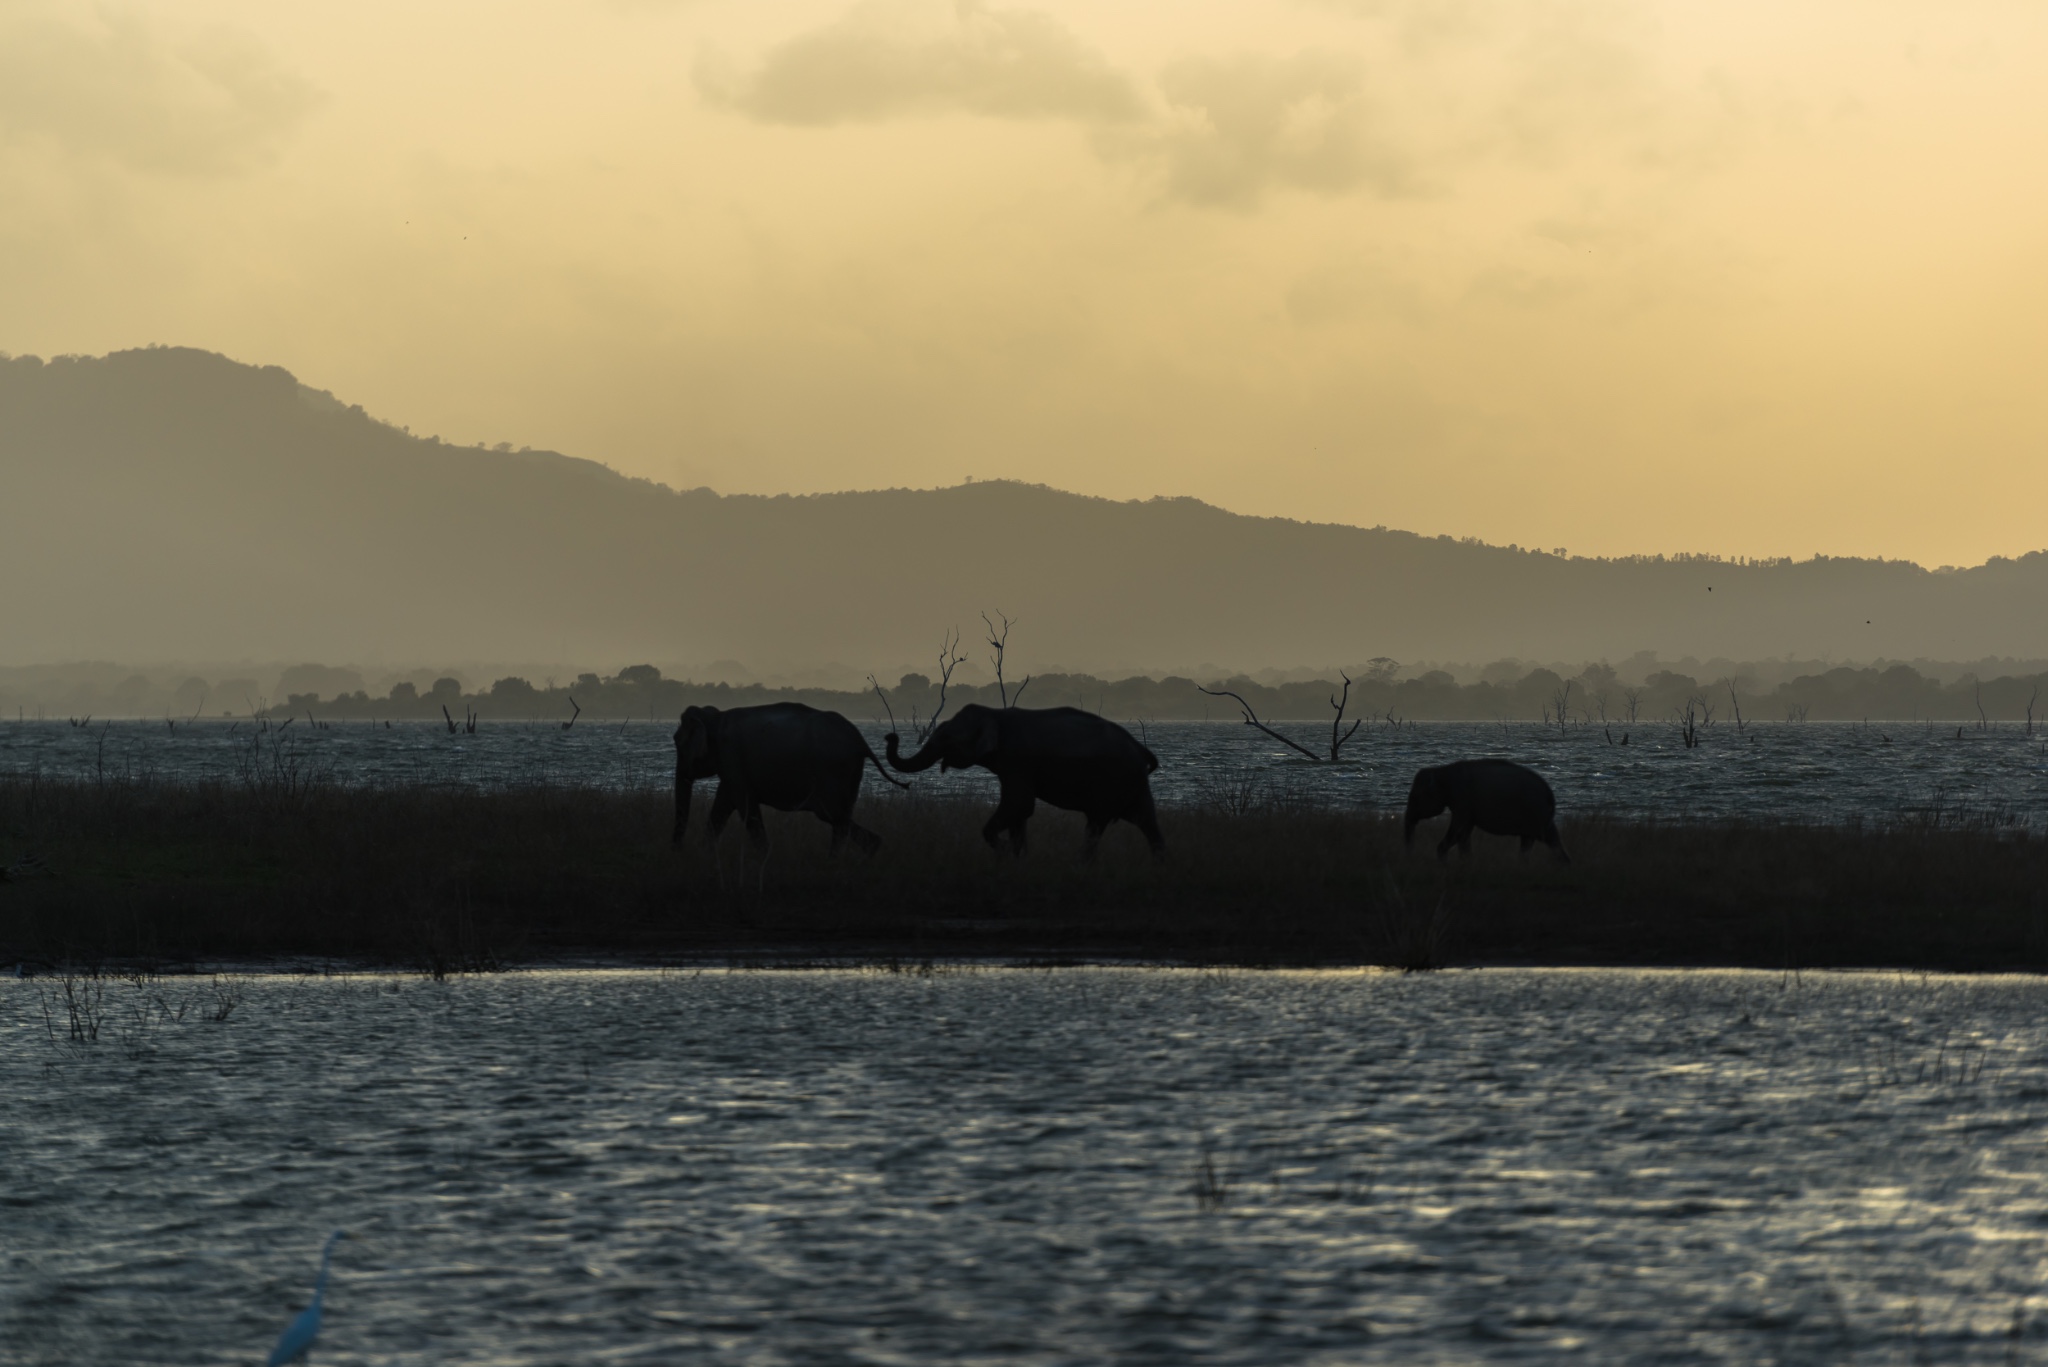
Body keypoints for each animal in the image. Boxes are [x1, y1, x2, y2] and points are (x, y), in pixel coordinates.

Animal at [671, 705, 905, 856]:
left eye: (677, 742)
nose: (678, 851)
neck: (715, 717)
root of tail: (860, 741)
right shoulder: (730, 764)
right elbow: (723, 804)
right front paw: (705, 854)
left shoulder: (730, 756)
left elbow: (744, 805)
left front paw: (764, 856)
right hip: (849, 773)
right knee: (840, 816)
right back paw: (860, 852)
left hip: (833, 771)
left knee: (831, 814)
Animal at [884, 705, 1171, 856]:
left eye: (946, 737)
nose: (890, 736)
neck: (995, 714)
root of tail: (1141, 749)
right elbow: (1019, 812)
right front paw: (1016, 855)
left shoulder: (1017, 760)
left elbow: (1019, 805)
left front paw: (1002, 850)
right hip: (1132, 784)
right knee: (1145, 822)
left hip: (1117, 780)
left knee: (1100, 824)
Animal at [1400, 758, 1572, 864]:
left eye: (1414, 798)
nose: (1410, 856)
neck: (1441, 770)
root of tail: (1550, 794)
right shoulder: (1465, 804)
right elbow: (1464, 833)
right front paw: (1467, 862)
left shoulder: (1462, 799)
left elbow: (1458, 830)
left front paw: (1445, 862)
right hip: (1540, 816)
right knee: (1547, 840)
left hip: (1534, 812)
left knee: (1534, 841)